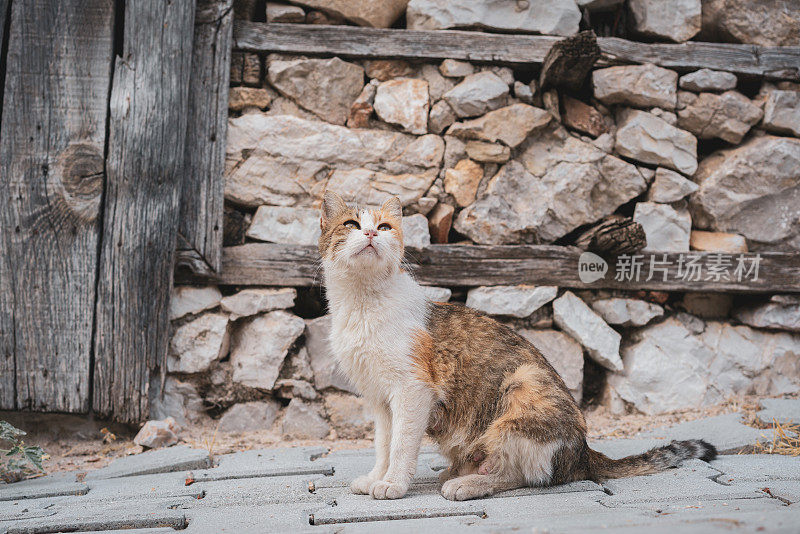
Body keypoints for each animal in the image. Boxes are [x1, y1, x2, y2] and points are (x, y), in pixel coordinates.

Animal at [316, 193, 716, 502]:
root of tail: (584, 454)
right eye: (351, 224)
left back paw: (467, 484)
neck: (364, 304)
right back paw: (458, 471)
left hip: (523, 384)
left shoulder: (412, 389)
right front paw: (376, 477)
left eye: (384, 227)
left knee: (524, 474)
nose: (370, 232)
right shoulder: (381, 398)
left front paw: (394, 484)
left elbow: (401, 444)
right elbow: (384, 443)